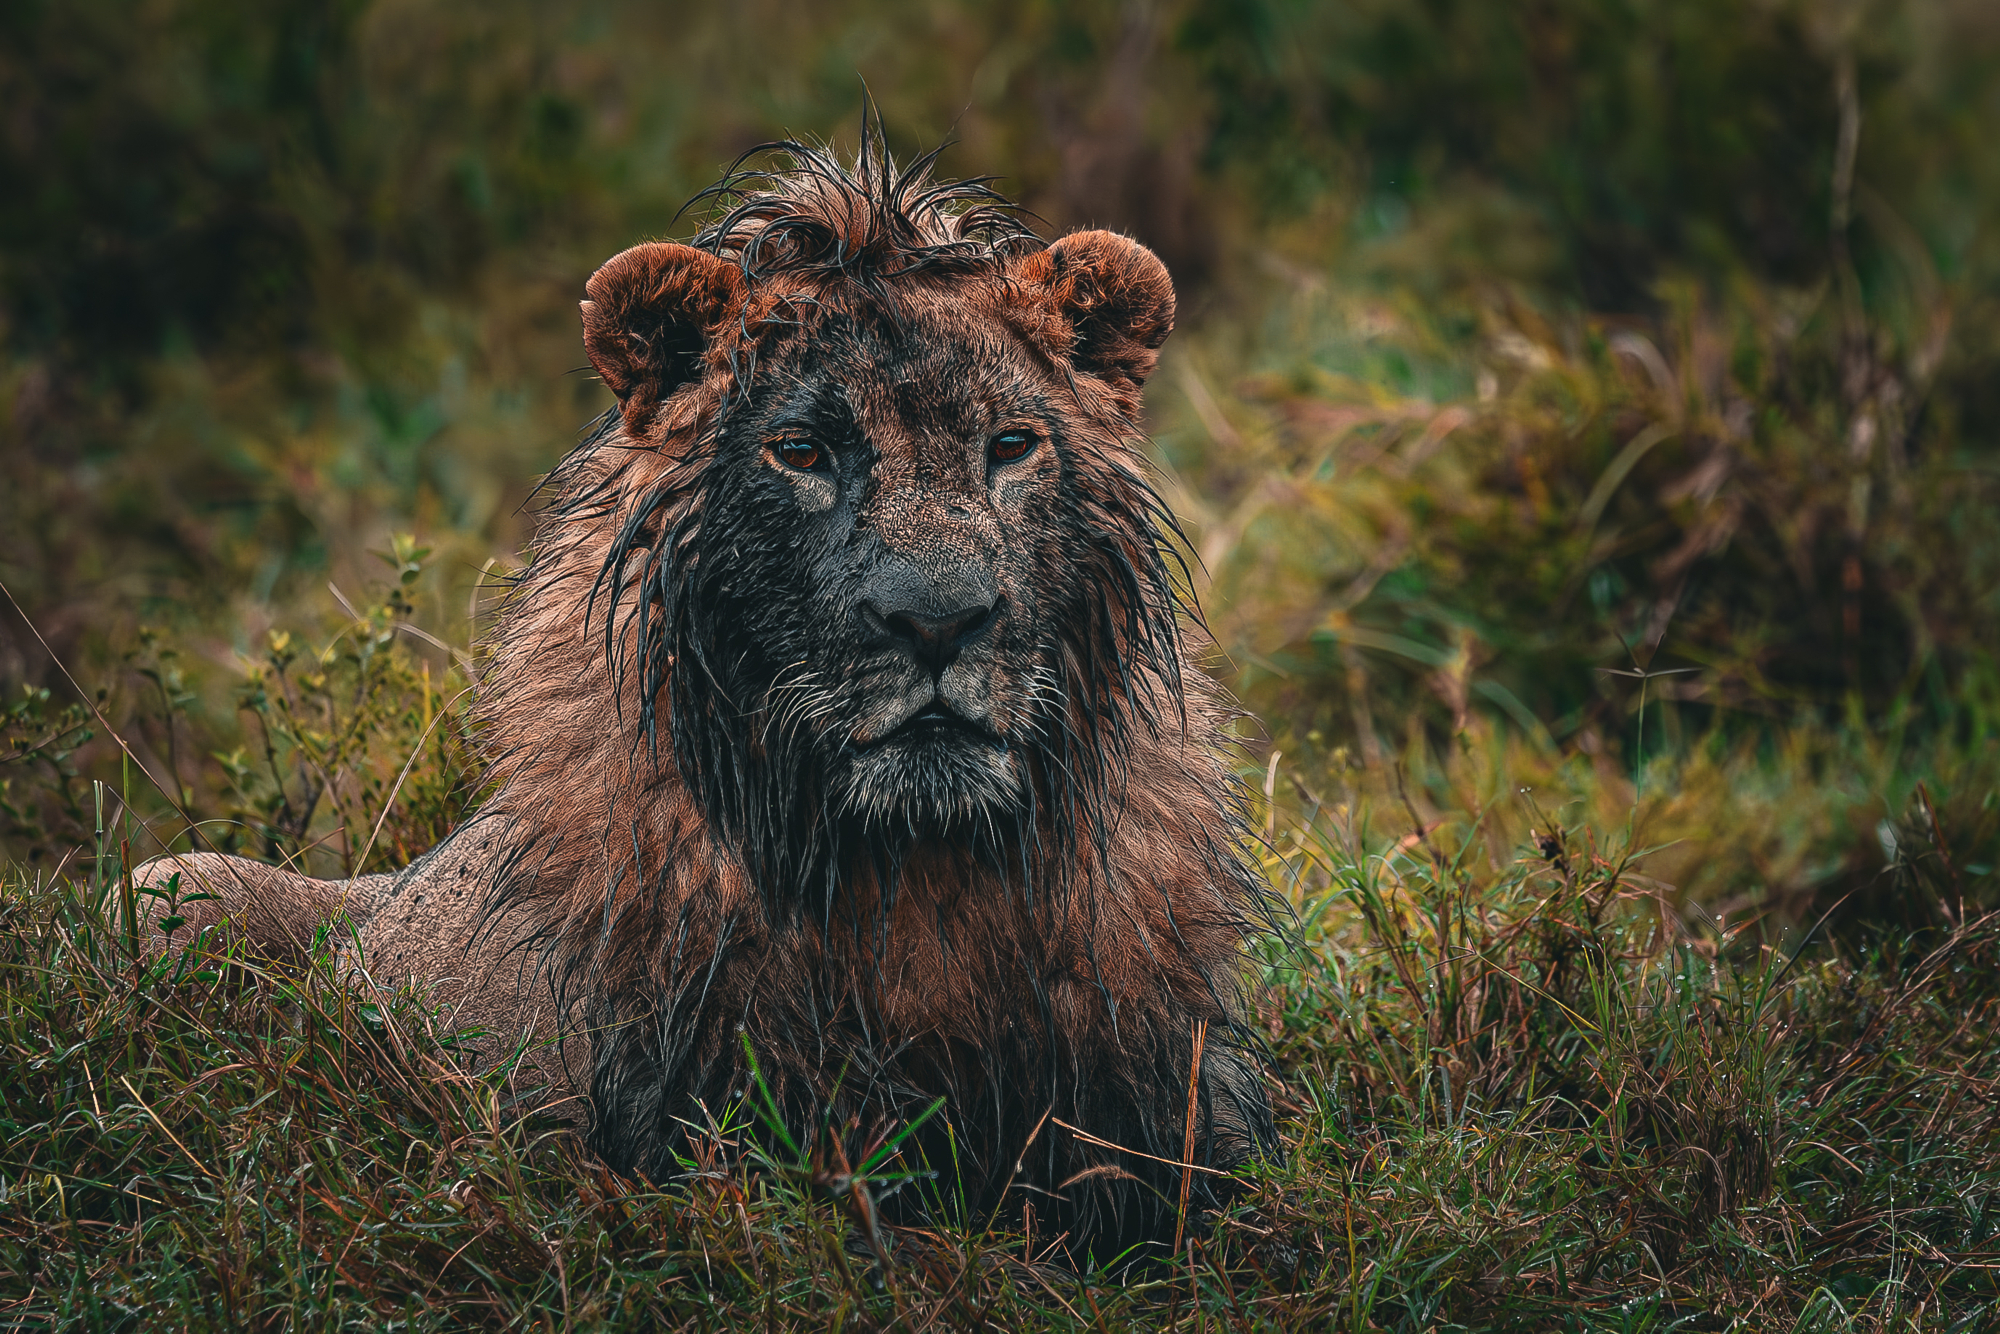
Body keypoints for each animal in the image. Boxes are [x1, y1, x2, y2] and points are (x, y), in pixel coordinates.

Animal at [138, 140, 1280, 1264]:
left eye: (1009, 446)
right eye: (803, 451)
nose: (939, 620)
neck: (916, 875)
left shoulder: (1177, 1124)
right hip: (166, 881)